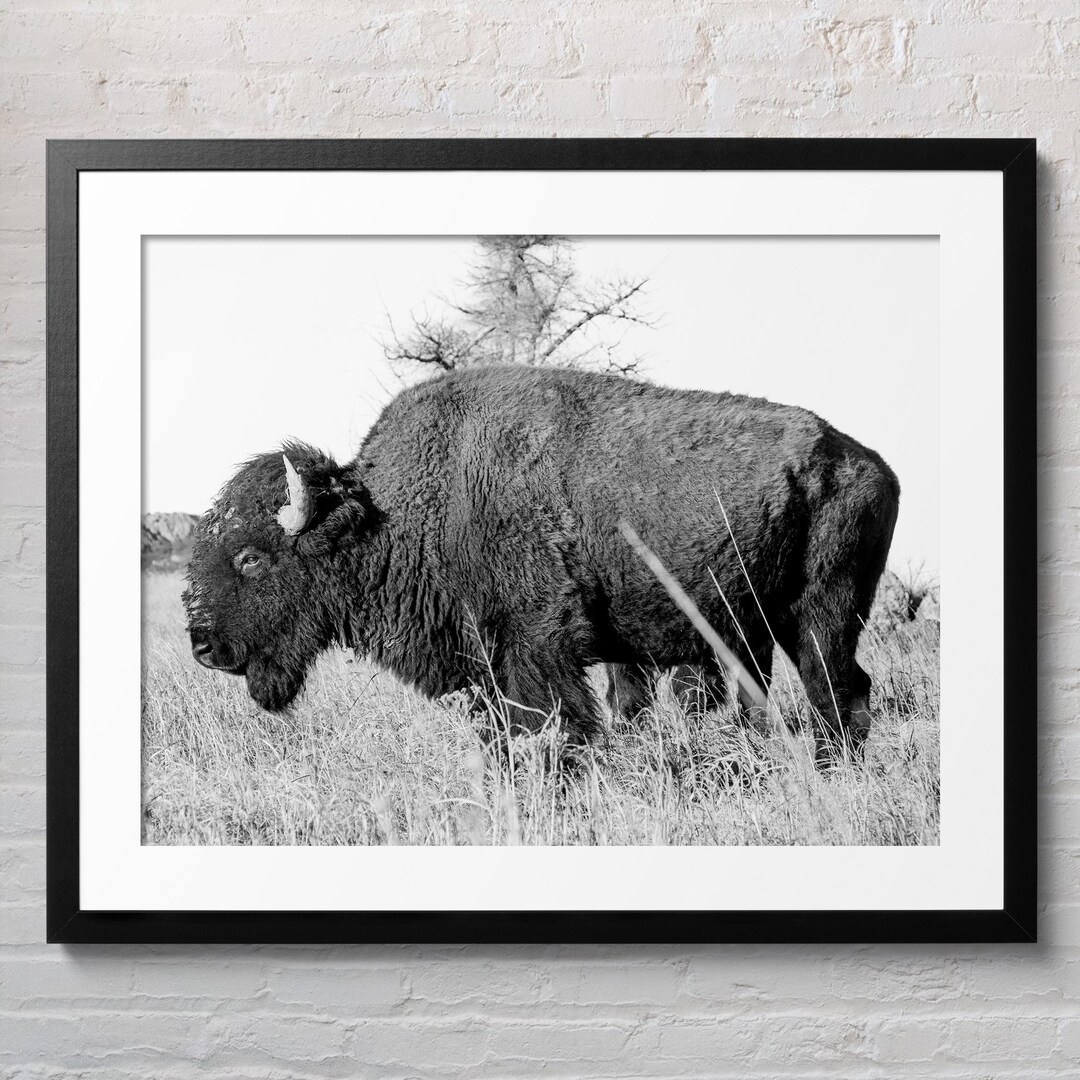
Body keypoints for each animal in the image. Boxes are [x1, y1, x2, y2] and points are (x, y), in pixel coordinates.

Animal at [184, 365, 899, 761]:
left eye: (250, 557)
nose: (203, 646)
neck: (396, 508)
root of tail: (871, 463)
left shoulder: (536, 646)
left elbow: (561, 723)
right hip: (760, 624)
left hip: (821, 614)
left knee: (837, 690)